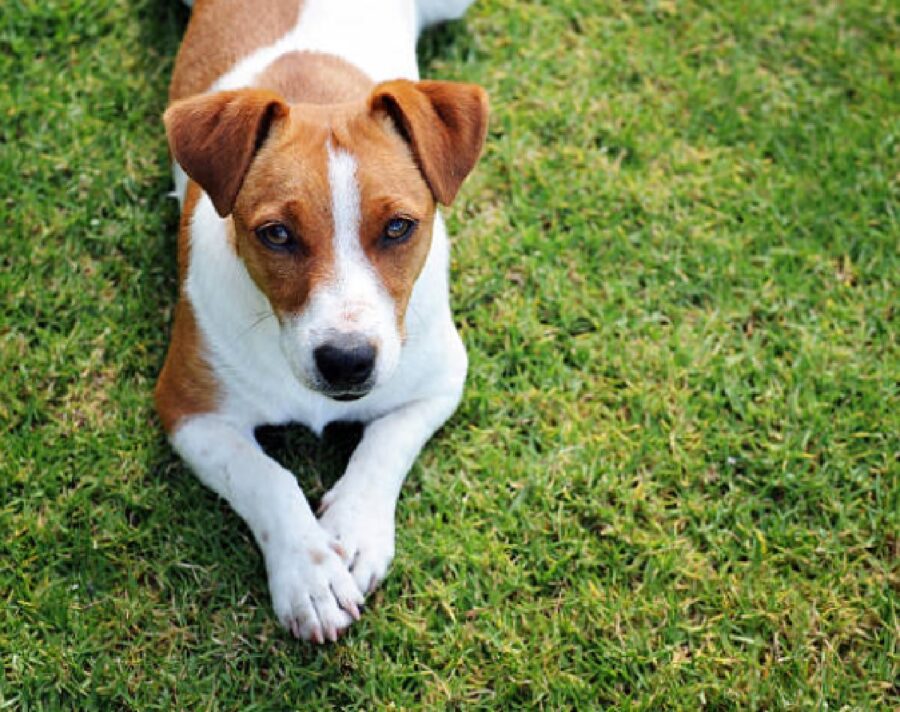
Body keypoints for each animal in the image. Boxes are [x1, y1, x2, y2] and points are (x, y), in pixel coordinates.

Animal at [158, 0, 488, 644]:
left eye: (398, 227)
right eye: (276, 234)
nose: (347, 362)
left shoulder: (440, 382)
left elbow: (385, 444)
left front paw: (355, 531)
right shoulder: (189, 411)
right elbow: (264, 477)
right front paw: (309, 573)